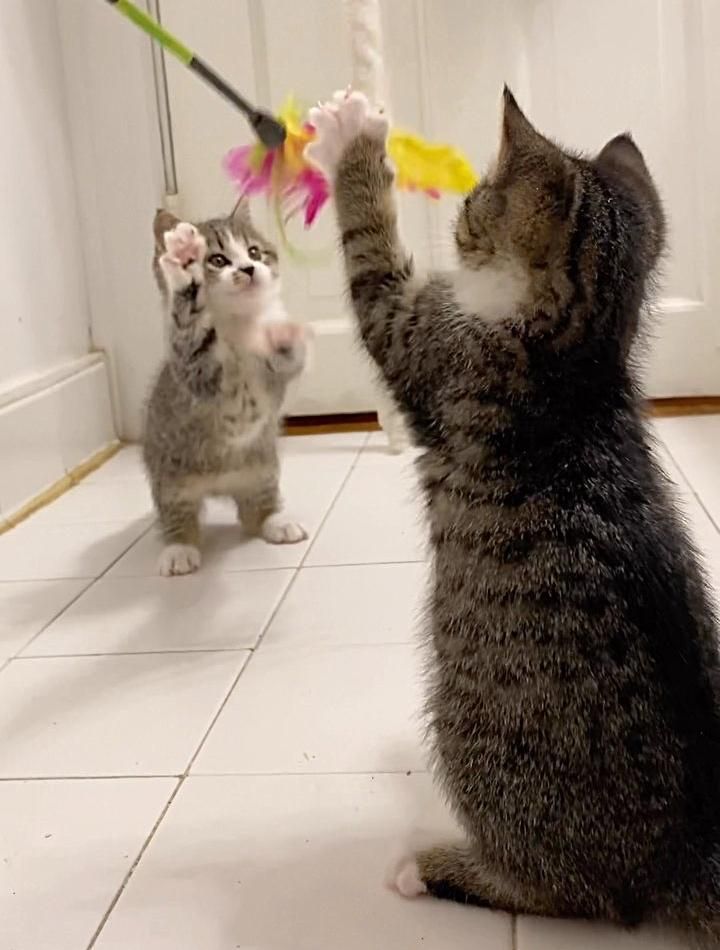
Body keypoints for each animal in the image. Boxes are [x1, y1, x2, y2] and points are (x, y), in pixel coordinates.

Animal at [143, 204, 306, 576]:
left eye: (254, 252)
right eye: (217, 260)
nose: (248, 268)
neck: (237, 326)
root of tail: (220, 483)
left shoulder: (276, 378)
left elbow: (288, 362)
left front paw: (281, 331)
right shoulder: (195, 373)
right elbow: (190, 333)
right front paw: (184, 269)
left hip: (263, 467)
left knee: (255, 513)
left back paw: (276, 521)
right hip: (170, 478)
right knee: (178, 515)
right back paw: (179, 548)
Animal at [310, 91, 720, 944]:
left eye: (473, 200)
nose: (458, 211)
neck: (577, 354)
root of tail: (686, 854)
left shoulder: (420, 339)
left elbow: (371, 255)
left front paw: (355, 143)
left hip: (467, 730)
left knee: (580, 899)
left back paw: (439, 871)